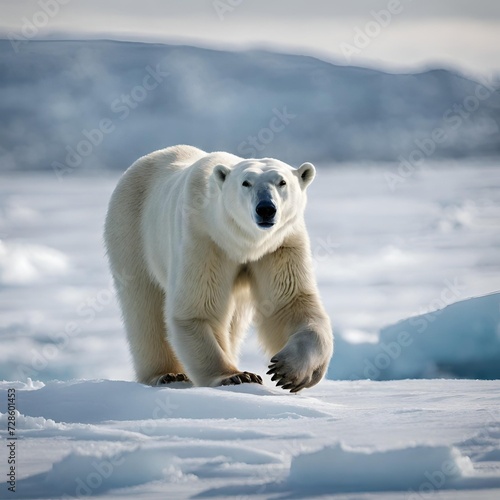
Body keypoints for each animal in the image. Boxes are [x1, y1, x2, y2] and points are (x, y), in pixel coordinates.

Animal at [104, 144, 334, 390]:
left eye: (282, 182)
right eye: (246, 182)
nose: (265, 209)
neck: (243, 244)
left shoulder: (279, 246)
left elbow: (291, 304)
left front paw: (290, 371)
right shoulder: (204, 240)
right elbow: (198, 310)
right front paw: (235, 375)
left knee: (236, 318)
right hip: (132, 231)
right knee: (144, 305)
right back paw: (167, 374)